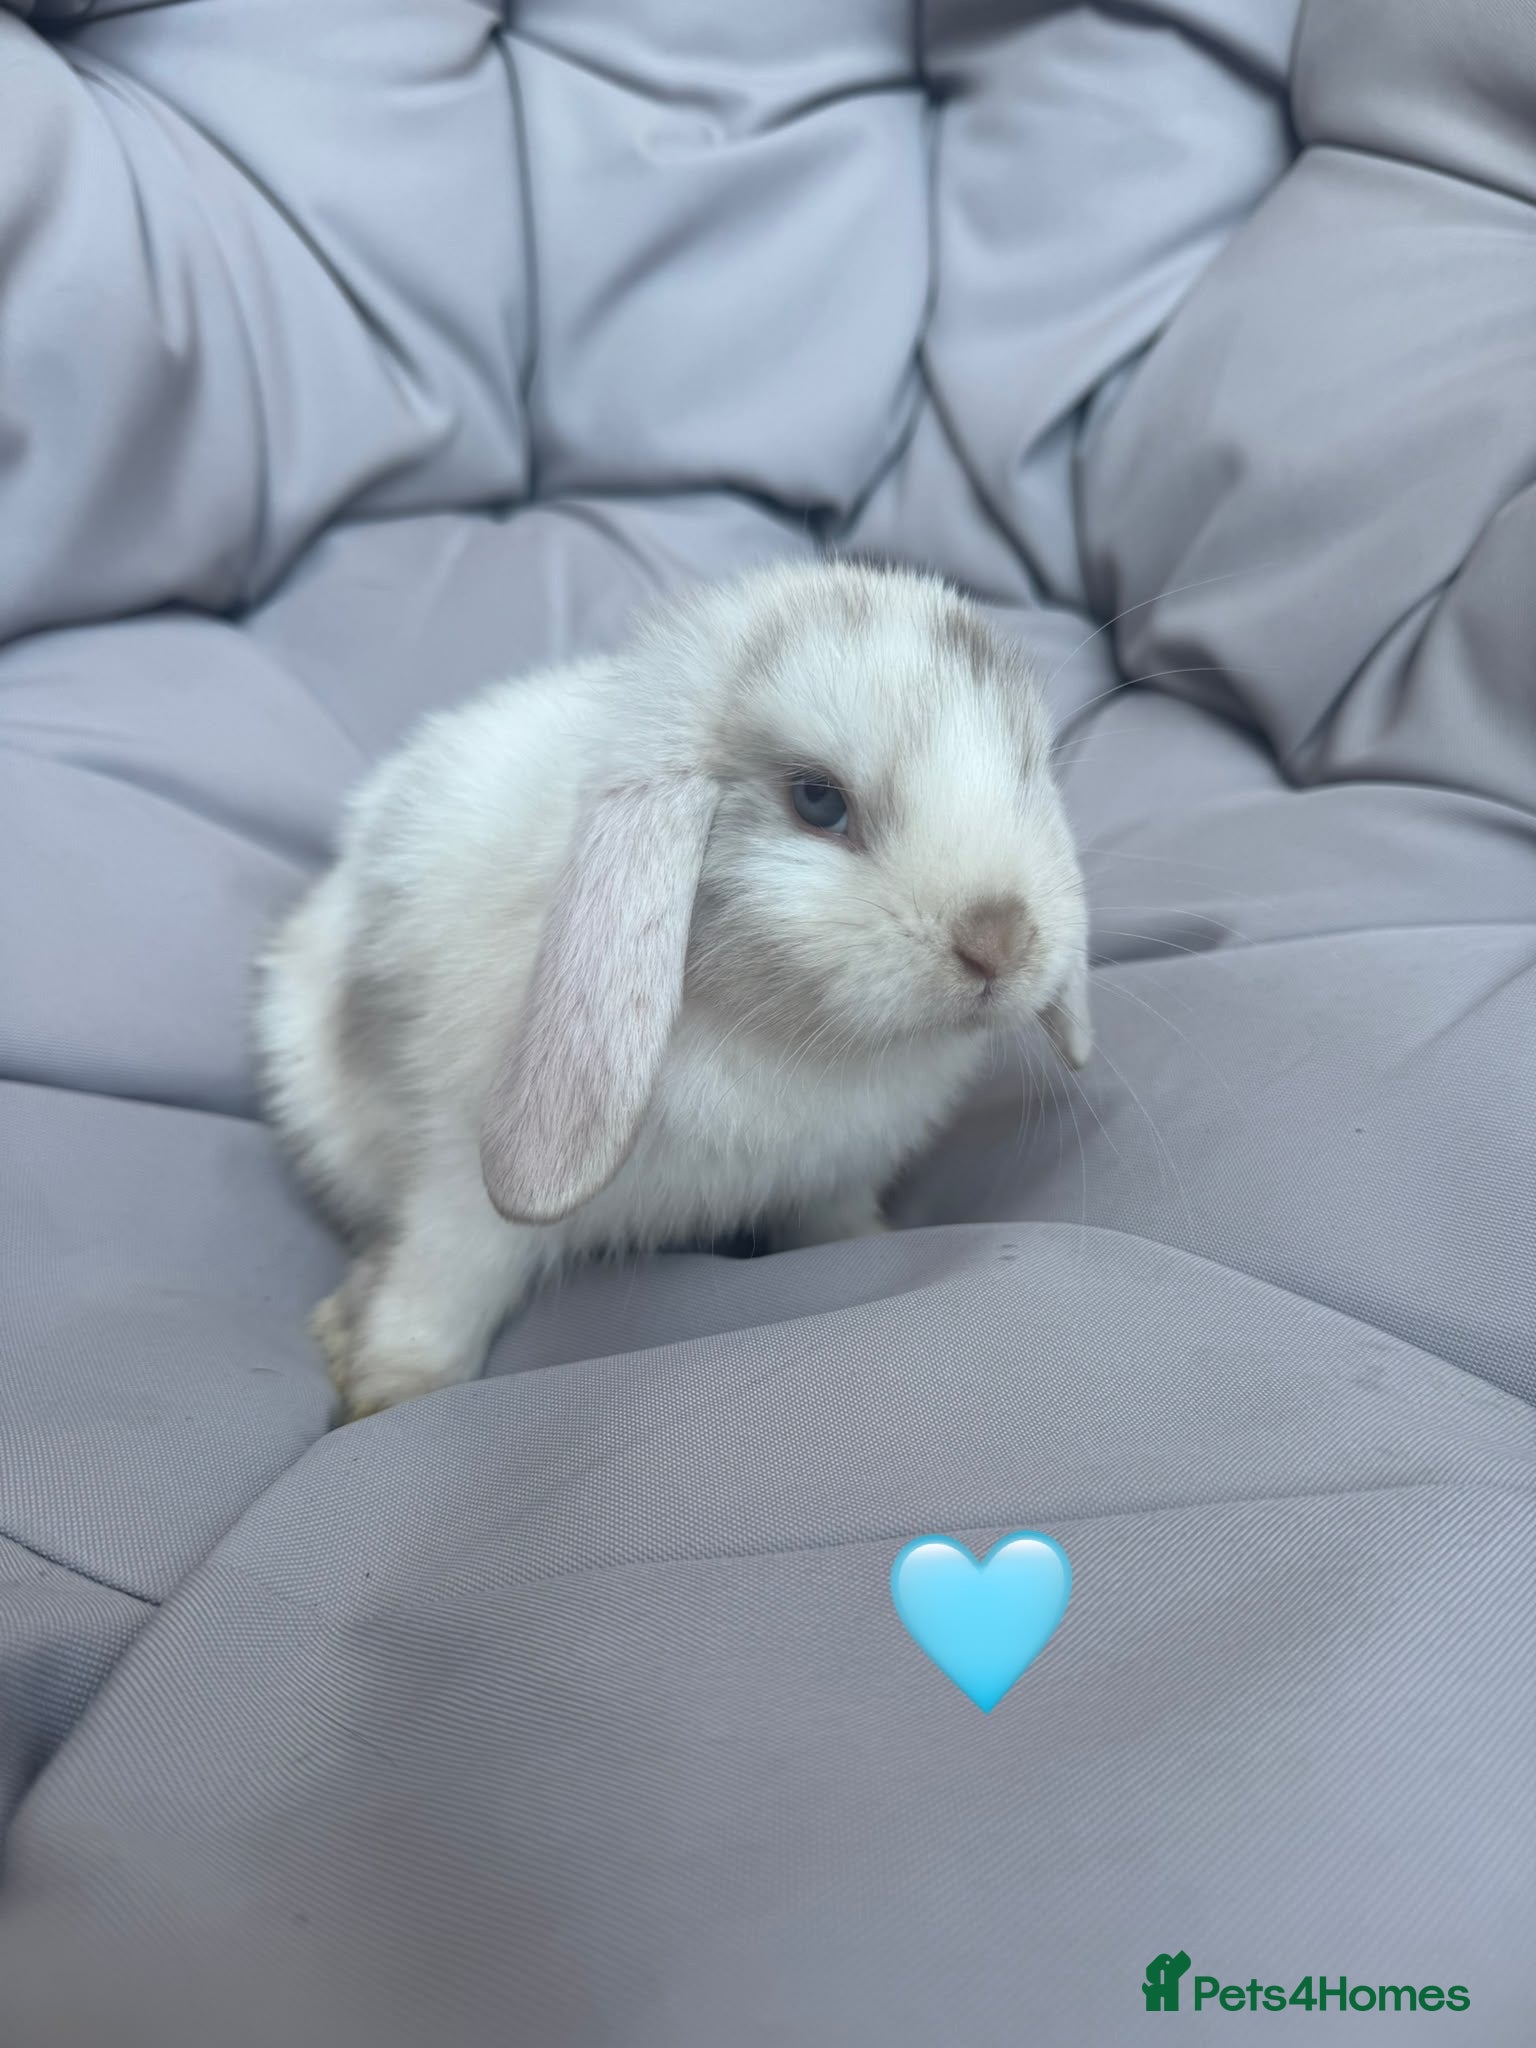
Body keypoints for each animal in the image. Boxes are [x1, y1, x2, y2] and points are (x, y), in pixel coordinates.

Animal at [253, 558, 1091, 1422]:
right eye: (817, 800)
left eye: (1029, 776)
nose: (1000, 942)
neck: (786, 1039)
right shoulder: (461, 1181)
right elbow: (443, 1282)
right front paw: (391, 1393)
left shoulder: (834, 1178)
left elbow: (840, 1223)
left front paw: (870, 1248)